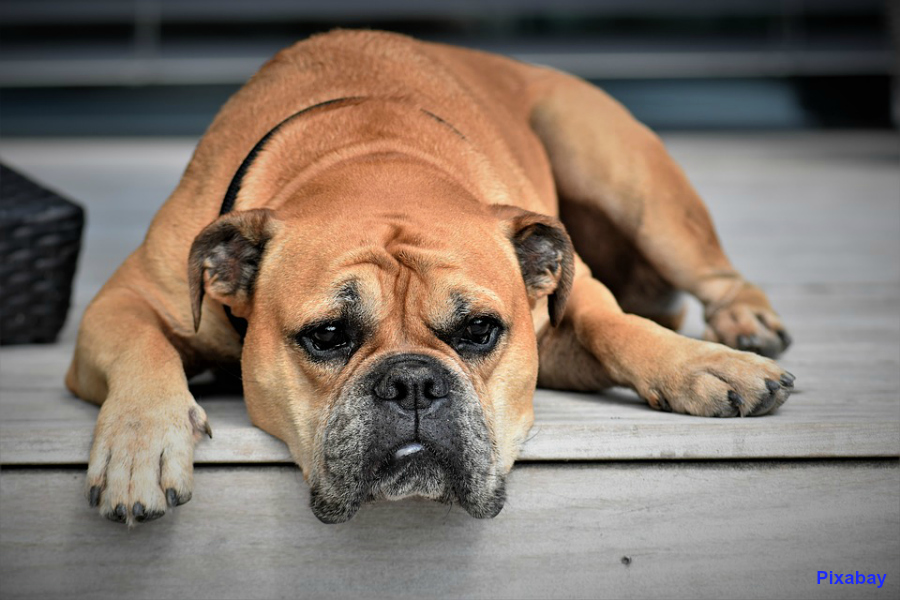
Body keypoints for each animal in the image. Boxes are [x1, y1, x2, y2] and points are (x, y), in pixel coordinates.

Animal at [67, 29, 792, 524]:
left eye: (480, 330)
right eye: (327, 335)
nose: (413, 383)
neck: (371, 158)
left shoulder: (569, 301)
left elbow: (615, 324)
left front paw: (702, 365)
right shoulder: (121, 302)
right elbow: (141, 346)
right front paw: (139, 443)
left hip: (627, 176)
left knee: (711, 273)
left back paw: (743, 325)